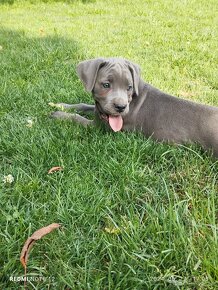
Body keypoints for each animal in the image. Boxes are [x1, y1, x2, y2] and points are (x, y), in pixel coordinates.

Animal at [51, 56, 218, 156]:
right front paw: (60, 105)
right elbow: (84, 105)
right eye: (106, 85)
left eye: (129, 87)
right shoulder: (100, 111)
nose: (121, 107)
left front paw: (58, 115)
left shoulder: (99, 127)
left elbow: (78, 118)